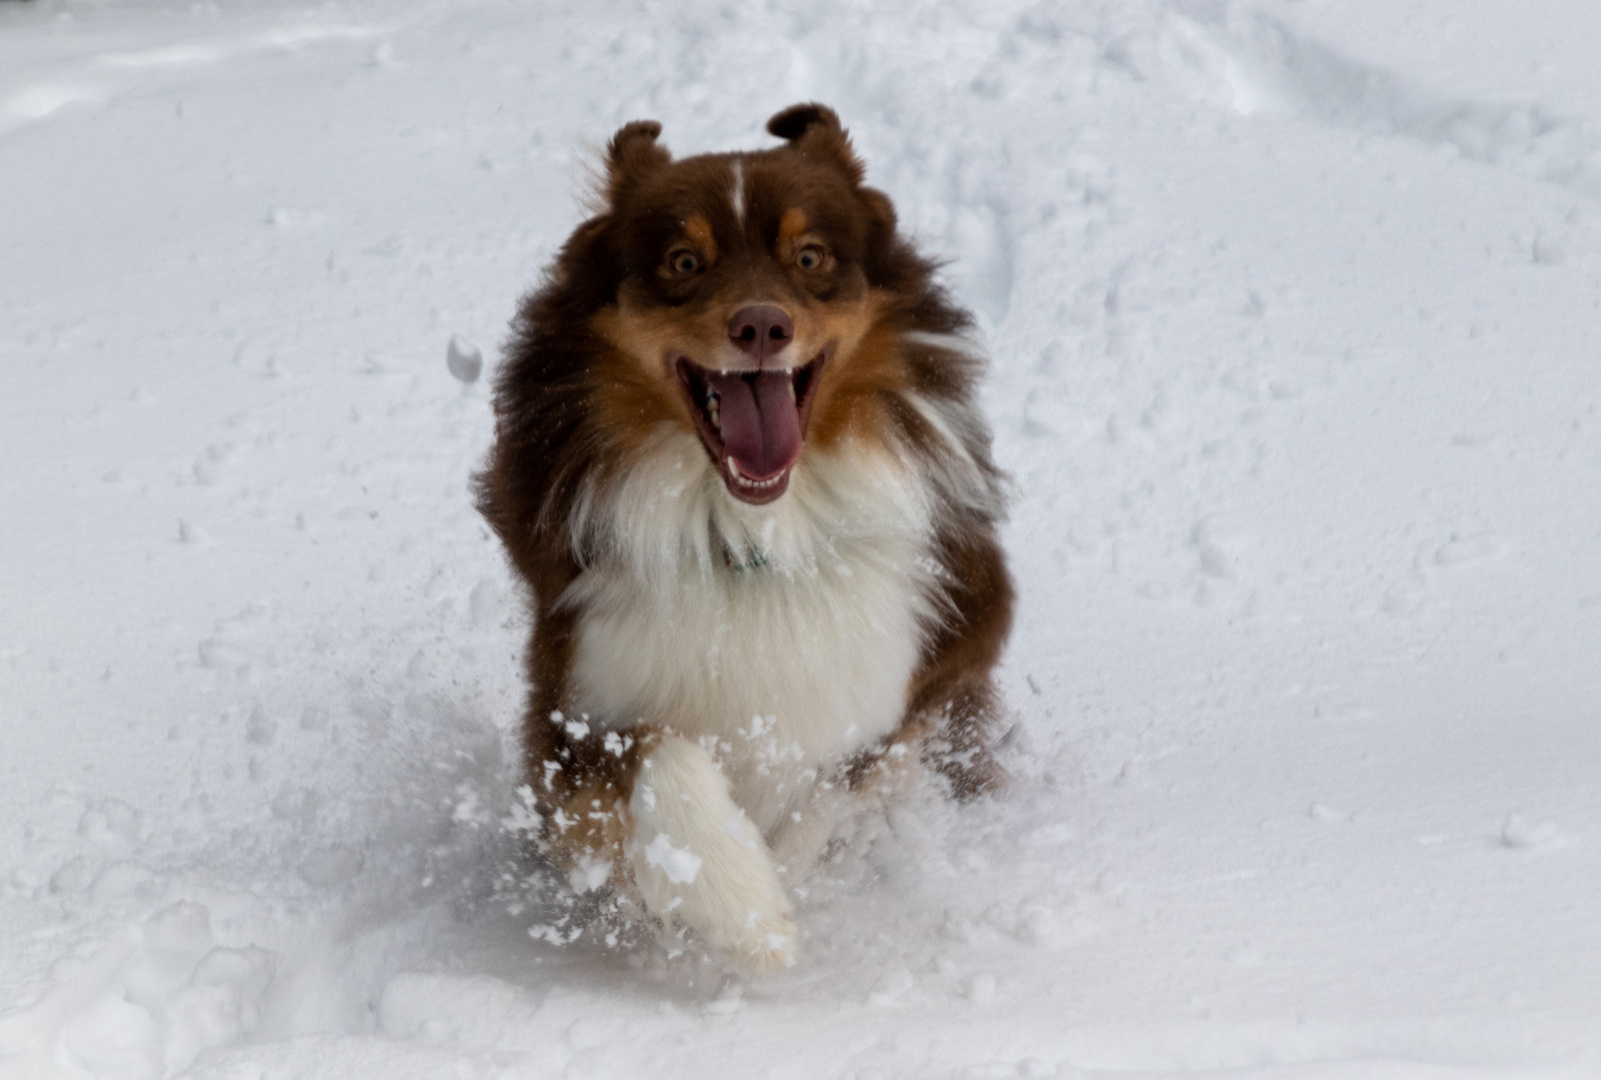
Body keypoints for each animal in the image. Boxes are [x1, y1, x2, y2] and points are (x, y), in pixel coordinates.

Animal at [473, 103, 1011, 972]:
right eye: (684, 261)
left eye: (809, 256)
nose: (761, 325)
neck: (753, 531)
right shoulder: (570, 709)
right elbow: (662, 757)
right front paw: (744, 908)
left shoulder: (931, 661)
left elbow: (834, 791)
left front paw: (783, 880)